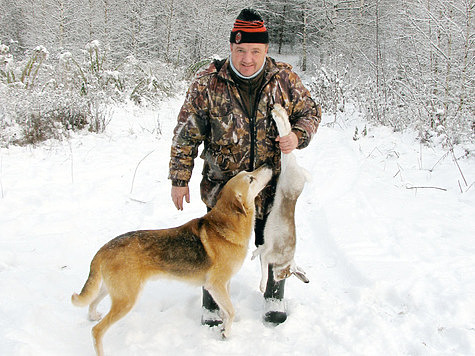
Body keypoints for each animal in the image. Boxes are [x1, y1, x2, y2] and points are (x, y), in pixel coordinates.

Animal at [70, 165, 272, 354]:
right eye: (250, 179)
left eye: (247, 172)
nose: (268, 164)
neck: (226, 225)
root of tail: (104, 248)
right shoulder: (216, 285)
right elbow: (231, 311)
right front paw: (226, 333)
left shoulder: (223, 286)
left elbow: (225, 311)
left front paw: (223, 326)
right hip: (126, 299)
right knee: (97, 331)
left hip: (112, 290)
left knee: (92, 303)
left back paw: (93, 315)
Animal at [253, 105, 312, 294]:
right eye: (288, 274)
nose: (279, 279)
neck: (285, 261)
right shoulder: (268, 256)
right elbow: (264, 268)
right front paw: (262, 286)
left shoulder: (265, 248)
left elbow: (259, 251)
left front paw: (252, 256)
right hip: (288, 174)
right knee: (286, 141)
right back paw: (277, 114)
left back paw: (278, 110)